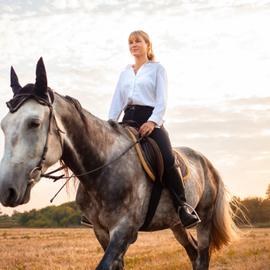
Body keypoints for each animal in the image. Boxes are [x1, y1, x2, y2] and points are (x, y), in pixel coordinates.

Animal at [0, 58, 236, 270]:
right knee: (193, 253)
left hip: (203, 219)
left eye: (34, 123)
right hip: (176, 224)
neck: (103, 169)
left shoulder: (124, 230)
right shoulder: (101, 231)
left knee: (202, 255)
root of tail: (207, 163)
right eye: (3, 125)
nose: (7, 190)